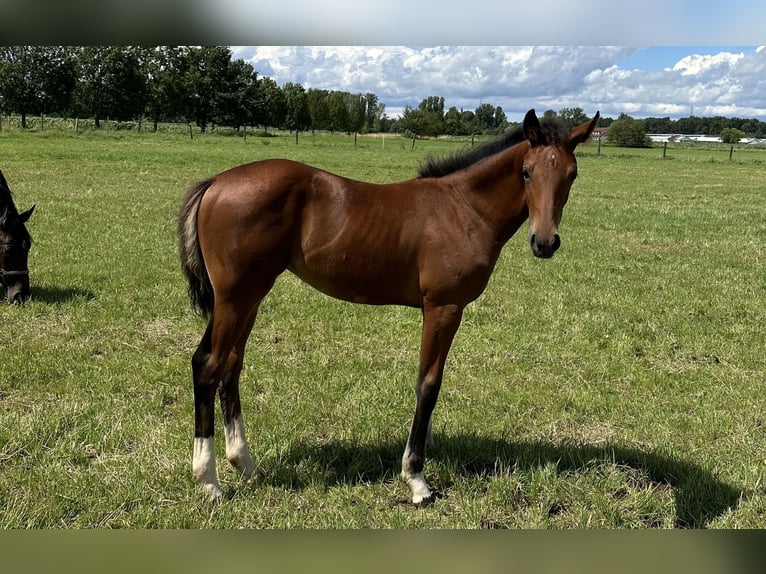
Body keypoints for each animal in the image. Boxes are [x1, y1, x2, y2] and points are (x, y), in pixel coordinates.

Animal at [178, 110, 600, 506]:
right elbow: (428, 384)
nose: (544, 242)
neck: (463, 209)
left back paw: (246, 465)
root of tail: (216, 182)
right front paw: (416, 479)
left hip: (250, 296)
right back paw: (210, 482)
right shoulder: (444, 308)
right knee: (208, 365)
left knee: (231, 365)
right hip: (235, 297)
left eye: (572, 175)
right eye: (527, 172)